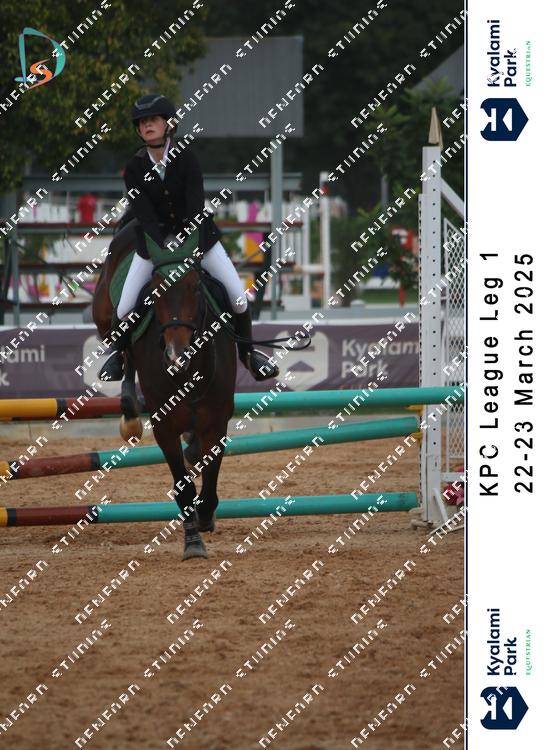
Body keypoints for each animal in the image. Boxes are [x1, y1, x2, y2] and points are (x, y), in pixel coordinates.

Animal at [92, 219, 236, 560]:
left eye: (196, 287)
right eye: (156, 290)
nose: (175, 355)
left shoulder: (217, 422)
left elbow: (210, 474)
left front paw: (206, 515)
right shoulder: (165, 428)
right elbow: (183, 486)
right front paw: (193, 542)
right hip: (105, 319)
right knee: (123, 350)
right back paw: (129, 409)